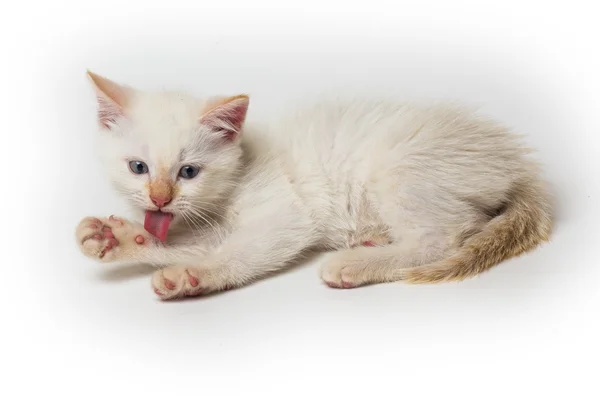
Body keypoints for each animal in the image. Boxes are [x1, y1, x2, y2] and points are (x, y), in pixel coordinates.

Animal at [75, 72, 552, 300]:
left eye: (189, 172)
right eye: (138, 167)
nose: (160, 198)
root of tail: (518, 162)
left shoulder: (285, 215)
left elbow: (237, 253)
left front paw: (194, 277)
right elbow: (190, 243)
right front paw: (119, 239)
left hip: (401, 166)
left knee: (445, 237)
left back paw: (353, 264)